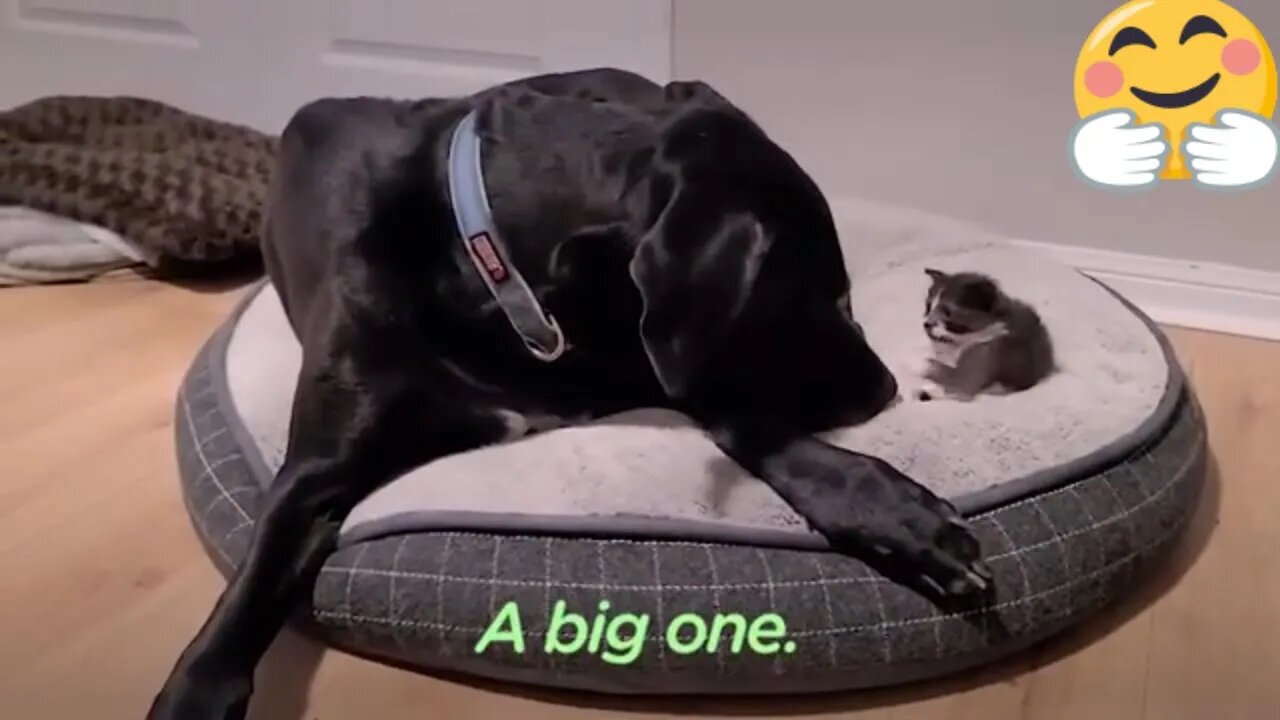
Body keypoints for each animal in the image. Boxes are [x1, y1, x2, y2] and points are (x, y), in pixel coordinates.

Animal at [147, 68, 988, 717]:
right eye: (815, 291)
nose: (885, 388)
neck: (486, 264)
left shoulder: (642, 355)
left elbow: (744, 419)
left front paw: (896, 516)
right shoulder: (316, 471)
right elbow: (251, 587)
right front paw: (193, 691)